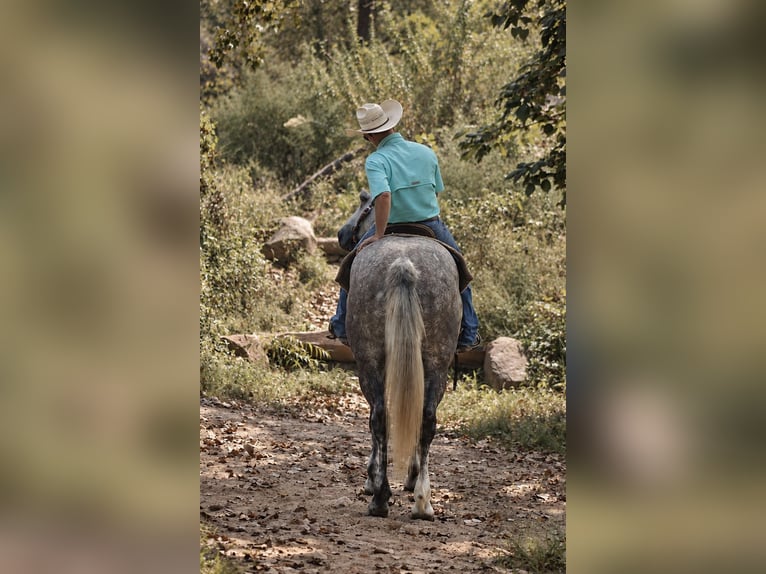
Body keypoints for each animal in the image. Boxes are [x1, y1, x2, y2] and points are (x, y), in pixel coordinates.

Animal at [338, 191, 463, 520]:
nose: (342, 234)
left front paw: (371, 478)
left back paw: (381, 498)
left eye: (363, 201)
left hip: (369, 360)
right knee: (426, 418)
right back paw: (423, 502)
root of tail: (403, 264)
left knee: (380, 416)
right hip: (437, 361)